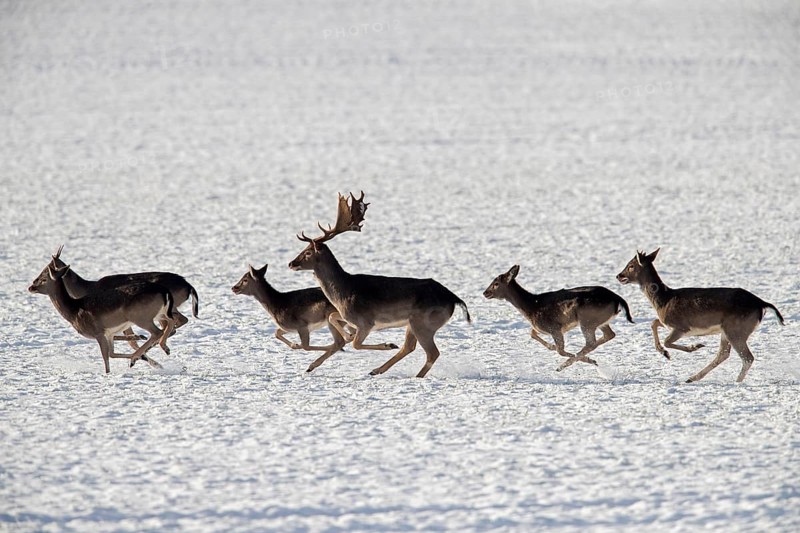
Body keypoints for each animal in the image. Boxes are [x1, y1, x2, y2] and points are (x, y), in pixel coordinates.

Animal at [28, 262, 176, 373]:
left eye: (44, 278)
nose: (31, 287)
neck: (74, 311)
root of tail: (165, 291)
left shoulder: (98, 332)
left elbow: (106, 357)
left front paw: (108, 373)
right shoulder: (109, 333)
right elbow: (112, 353)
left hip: (142, 318)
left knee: (158, 331)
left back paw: (135, 358)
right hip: (160, 313)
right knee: (171, 322)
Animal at [49, 245, 198, 357]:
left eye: (47, 270)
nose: (37, 283)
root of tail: (189, 286)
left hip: (163, 310)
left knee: (174, 322)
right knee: (176, 322)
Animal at [288, 191, 471, 377]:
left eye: (307, 252)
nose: (291, 263)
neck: (342, 292)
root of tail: (455, 299)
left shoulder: (365, 321)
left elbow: (355, 344)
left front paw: (382, 343)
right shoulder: (349, 316)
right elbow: (333, 317)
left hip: (424, 323)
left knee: (432, 352)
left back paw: (410, 374)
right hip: (412, 323)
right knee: (409, 347)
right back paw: (377, 370)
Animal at [483, 265, 633, 372]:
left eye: (496, 283)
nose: (485, 293)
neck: (531, 306)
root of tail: (617, 299)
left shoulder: (554, 327)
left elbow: (559, 350)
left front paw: (582, 359)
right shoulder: (544, 328)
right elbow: (532, 333)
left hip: (587, 320)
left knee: (591, 342)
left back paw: (565, 365)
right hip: (599, 321)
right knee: (609, 335)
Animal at [617, 248, 785, 383]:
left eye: (631, 265)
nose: (618, 275)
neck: (664, 301)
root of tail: (762, 303)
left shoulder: (681, 326)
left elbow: (667, 341)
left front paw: (691, 347)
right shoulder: (666, 323)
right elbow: (654, 322)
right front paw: (665, 353)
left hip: (736, 329)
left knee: (747, 357)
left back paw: (736, 381)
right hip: (727, 331)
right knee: (724, 354)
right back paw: (692, 378)